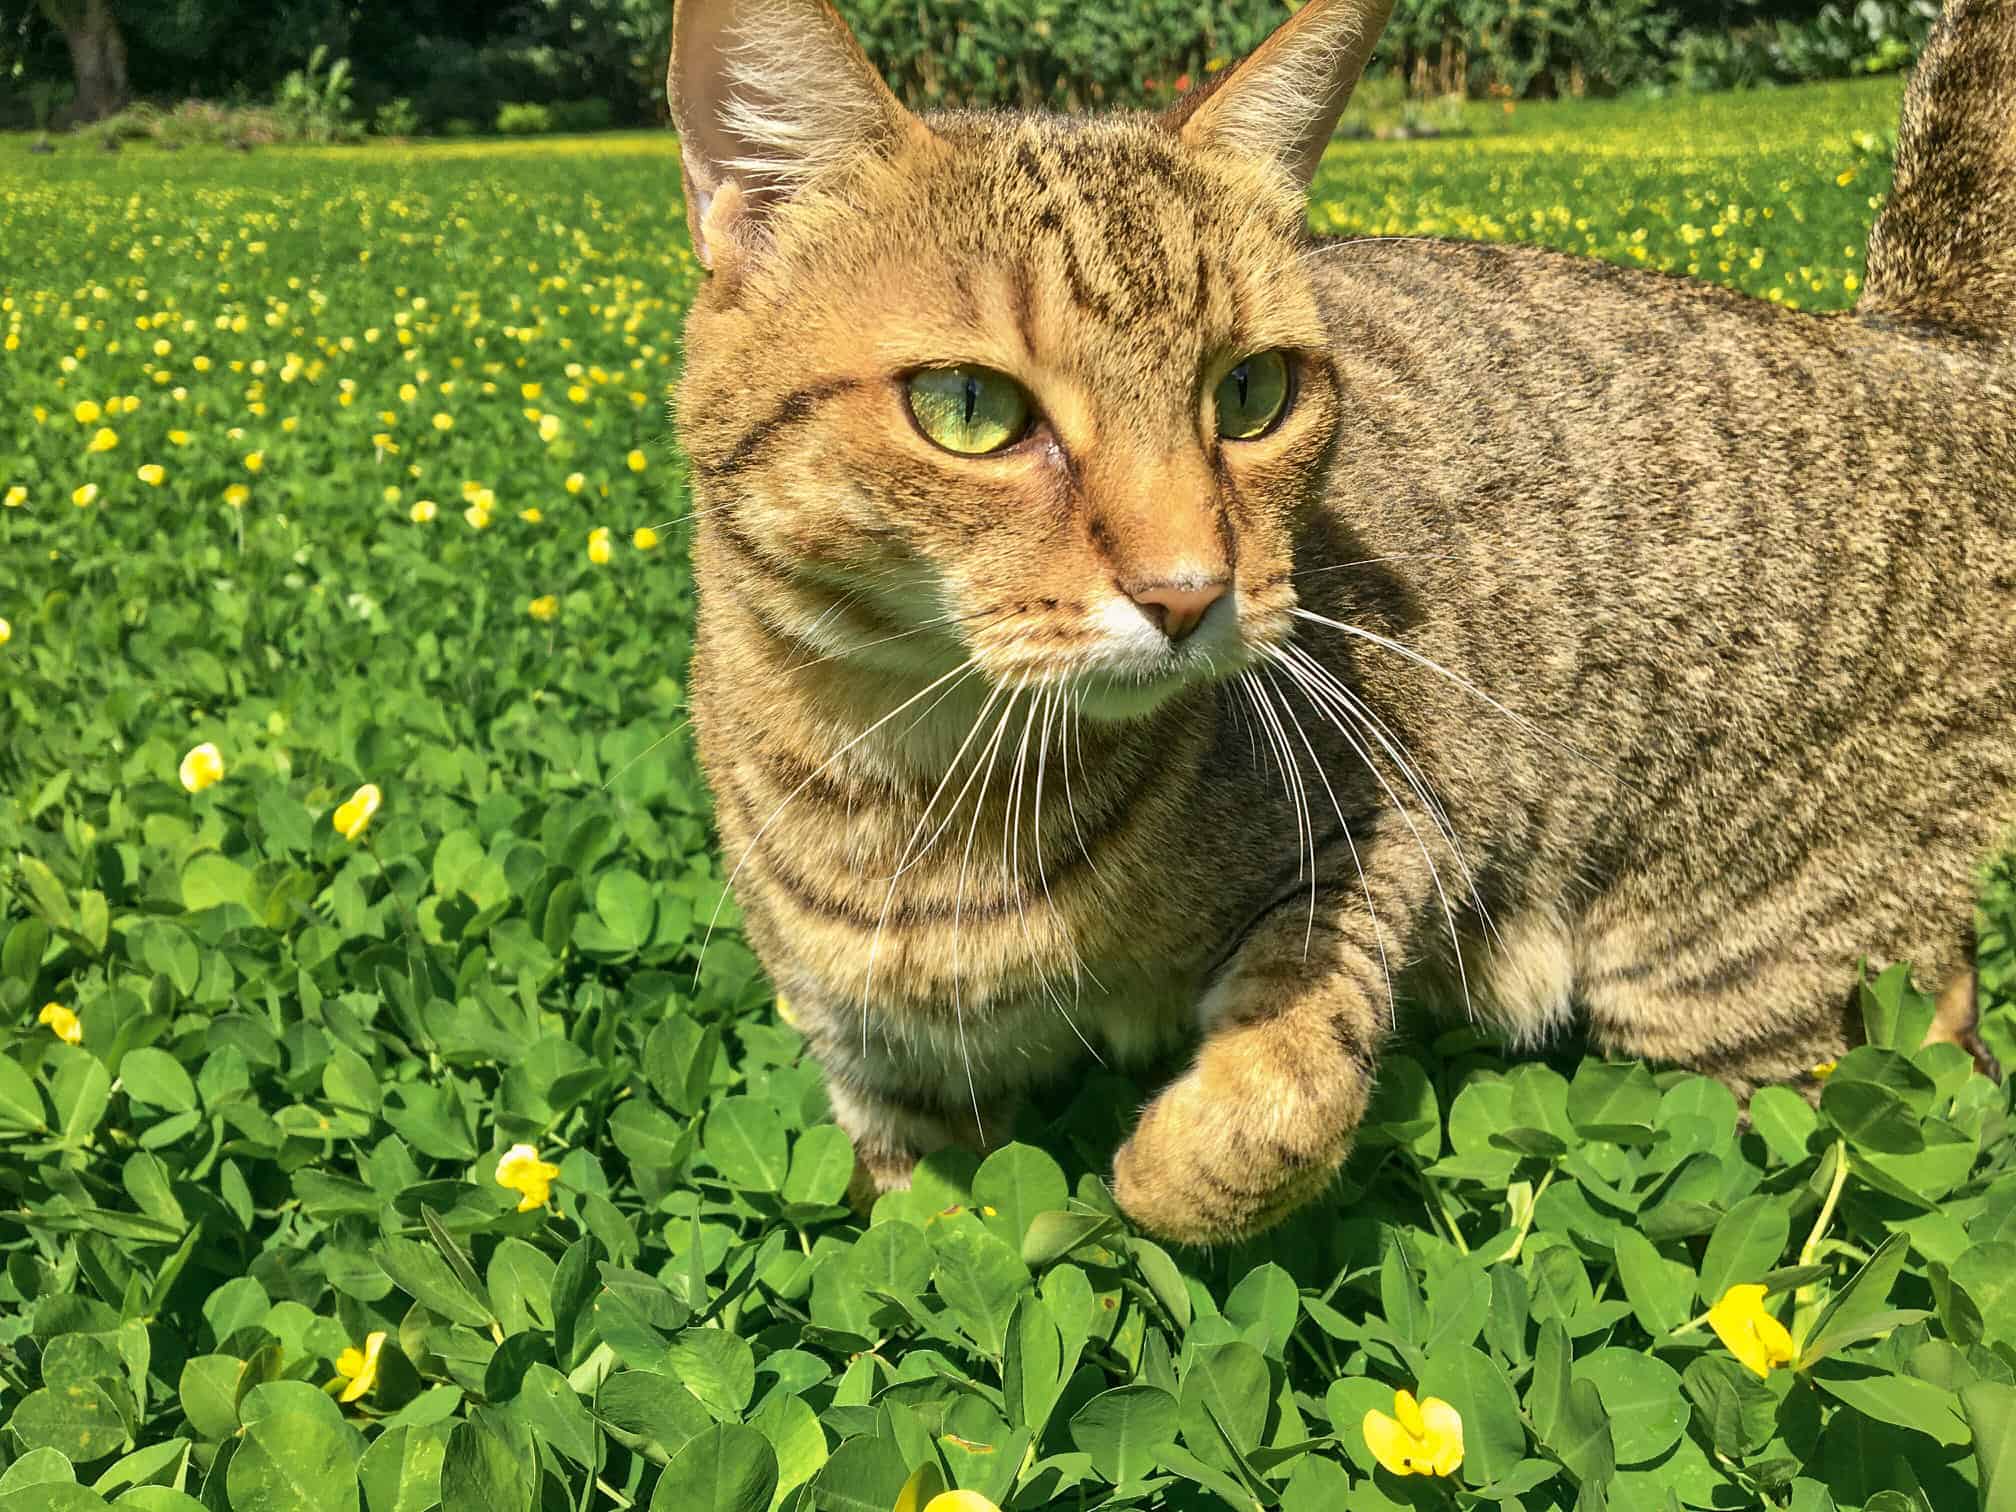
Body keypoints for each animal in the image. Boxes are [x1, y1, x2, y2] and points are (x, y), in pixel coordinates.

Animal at [665, 0, 2016, 1241]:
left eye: (1252, 393)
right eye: (968, 408)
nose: (1188, 591)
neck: (921, 786)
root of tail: (1920, 341)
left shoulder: (1392, 824)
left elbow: (1286, 1091)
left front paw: (1153, 1173)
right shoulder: (884, 1078)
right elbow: (929, 1229)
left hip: (1730, 973)